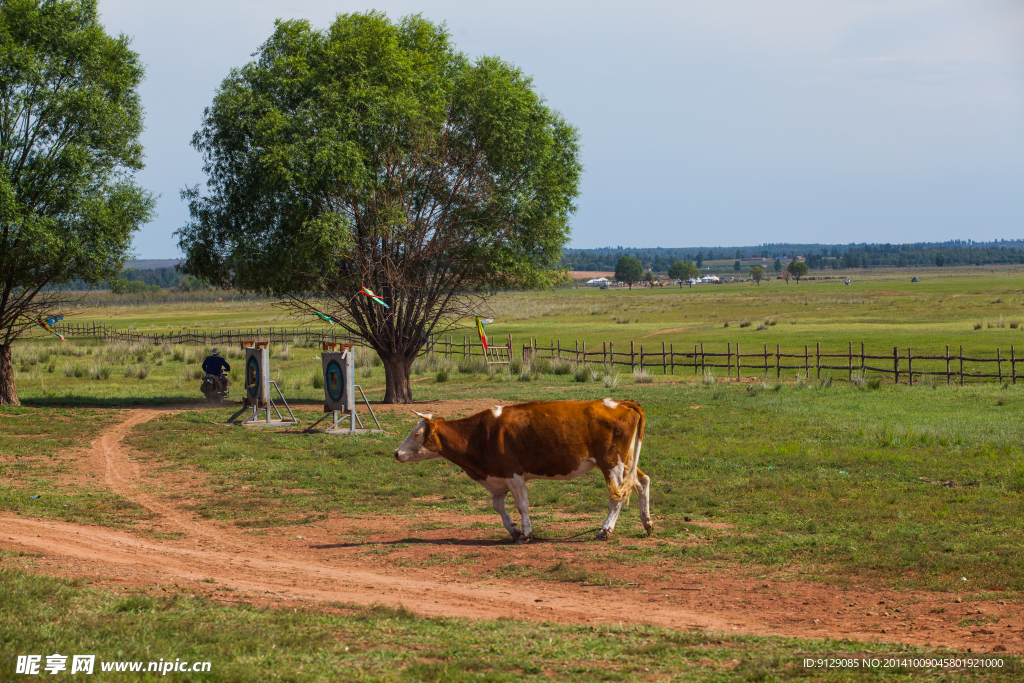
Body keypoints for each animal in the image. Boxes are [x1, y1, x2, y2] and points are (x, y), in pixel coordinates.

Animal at [395, 397, 651, 540]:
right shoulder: (497, 477)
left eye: (417, 434)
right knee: (642, 482)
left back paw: (605, 530)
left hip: (612, 464)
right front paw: (513, 530)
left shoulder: (513, 474)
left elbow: (522, 505)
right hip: (626, 462)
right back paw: (647, 523)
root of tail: (621, 403)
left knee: (616, 498)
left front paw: (526, 533)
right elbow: (498, 506)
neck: (479, 434)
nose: (396, 453)